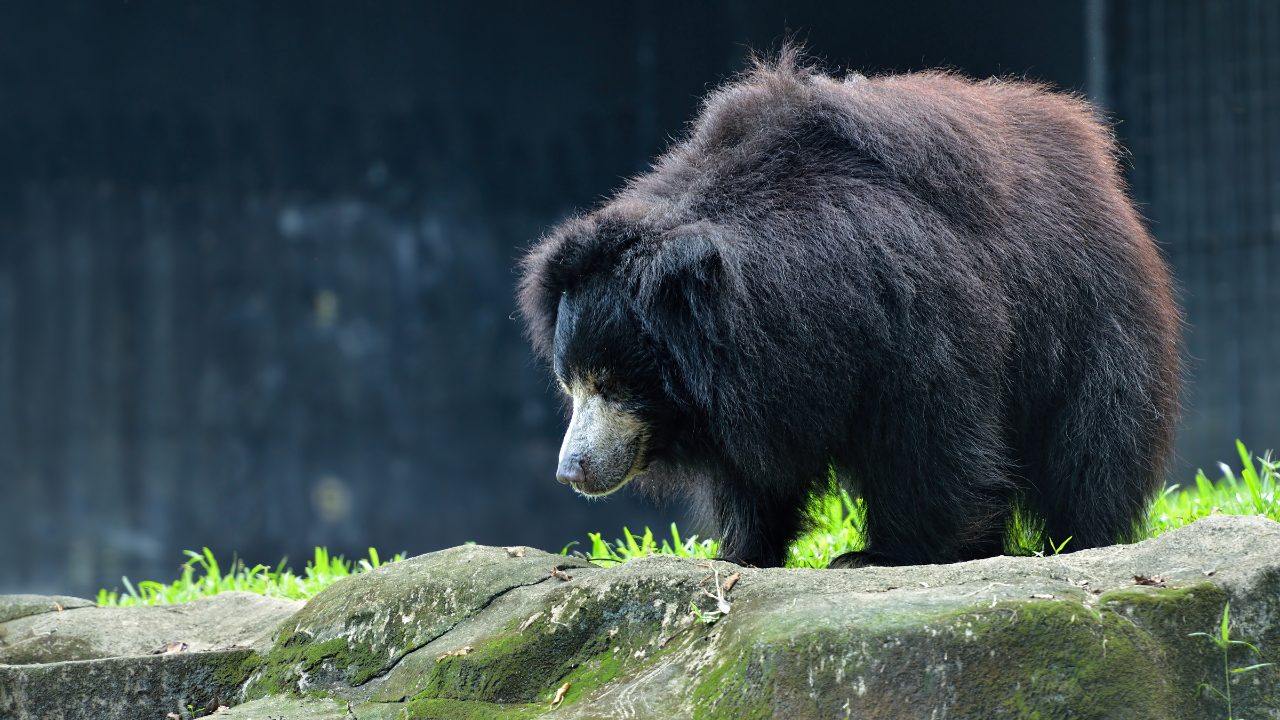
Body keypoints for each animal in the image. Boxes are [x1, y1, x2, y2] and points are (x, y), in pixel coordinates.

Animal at [517, 49, 1177, 566]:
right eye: (571, 385)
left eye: (612, 385)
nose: (572, 472)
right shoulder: (755, 385)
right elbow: (751, 475)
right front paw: (739, 553)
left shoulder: (908, 312)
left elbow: (930, 433)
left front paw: (882, 554)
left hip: (1090, 316)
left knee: (1090, 442)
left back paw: (1080, 539)